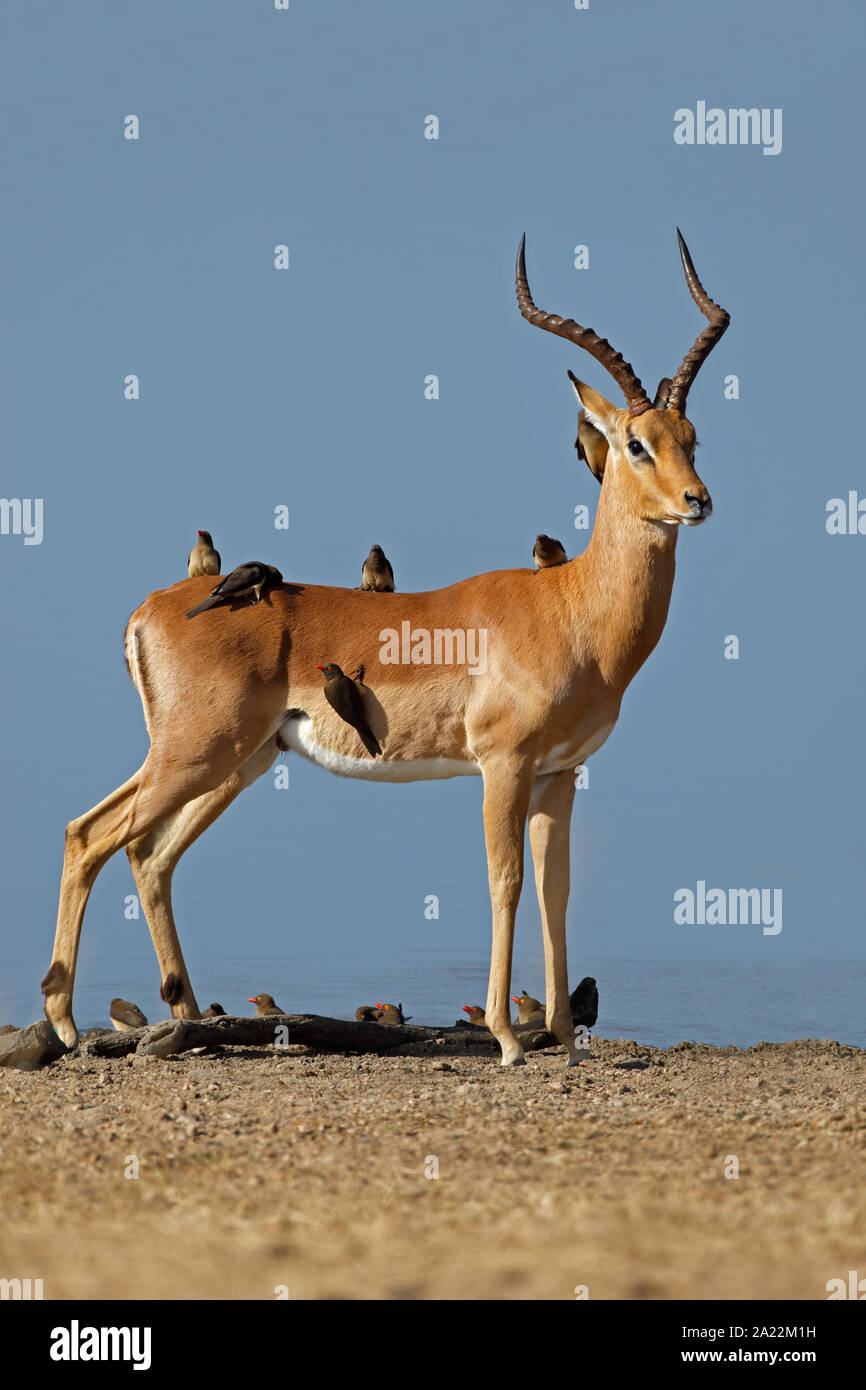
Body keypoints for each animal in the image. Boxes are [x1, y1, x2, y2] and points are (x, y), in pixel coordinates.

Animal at [42, 230, 729, 1067]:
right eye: (635, 443)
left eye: (691, 439)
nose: (698, 501)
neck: (570, 610)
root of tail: (152, 608)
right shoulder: (502, 765)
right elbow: (505, 881)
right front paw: (508, 1037)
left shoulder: (559, 774)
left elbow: (555, 890)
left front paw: (564, 1040)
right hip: (195, 754)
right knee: (90, 836)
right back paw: (67, 1024)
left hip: (237, 762)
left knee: (147, 853)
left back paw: (187, 1019)